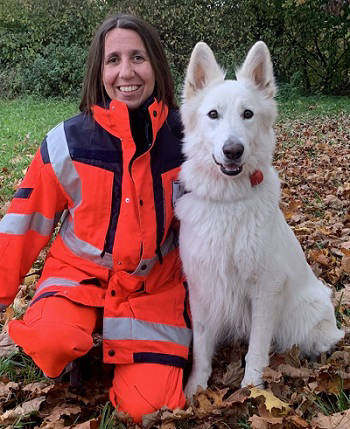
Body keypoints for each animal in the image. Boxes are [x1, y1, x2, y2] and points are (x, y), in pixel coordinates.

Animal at [175, 40, 344, 394]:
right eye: (213, 114)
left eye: (248, 114)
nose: (233, 150)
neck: (228, 201)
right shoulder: (201, 289)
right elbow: (201, 349)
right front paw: (195, 389)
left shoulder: (265, 290)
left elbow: (256, 348)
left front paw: (251, 389)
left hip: (307, 314)